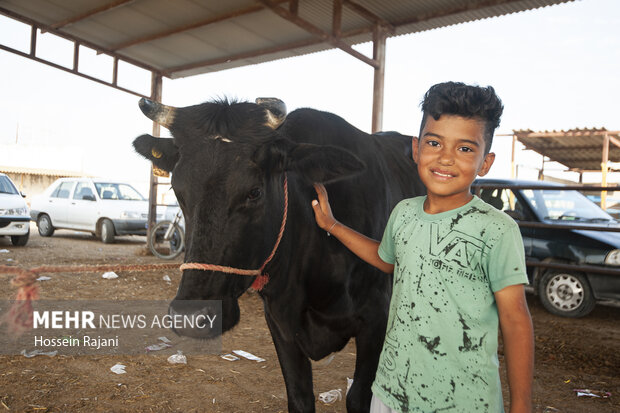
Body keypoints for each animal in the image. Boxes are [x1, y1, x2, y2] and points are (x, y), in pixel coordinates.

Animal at [133, 98, 424, 410]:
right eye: (178, 190)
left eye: (254, 192)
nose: (190, 317)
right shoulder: (280, 322)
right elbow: (299, 397)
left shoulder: (377, 318)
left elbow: (358, 398)